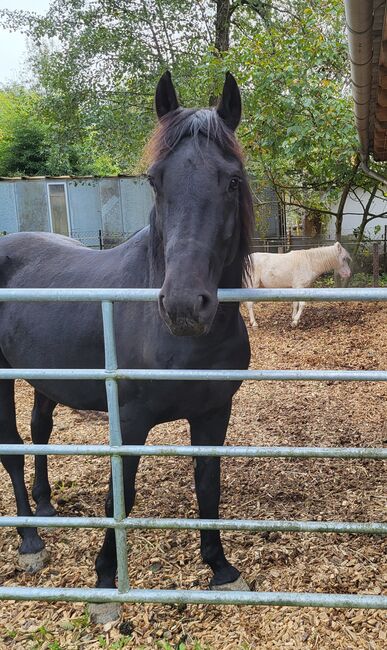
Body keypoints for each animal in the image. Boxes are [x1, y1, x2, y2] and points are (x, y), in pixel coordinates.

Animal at [0, 69, 256, 616]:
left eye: (232, 180)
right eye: (155, 181)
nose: (184, 306)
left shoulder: (214, 413)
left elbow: (208, 487)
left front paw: (221, 568)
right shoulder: (131, 419)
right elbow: (122, 493)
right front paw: (103, 579)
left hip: (45, 380)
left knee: (39, 431)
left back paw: (47, 506)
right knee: (11, 446)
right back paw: (30, 540)